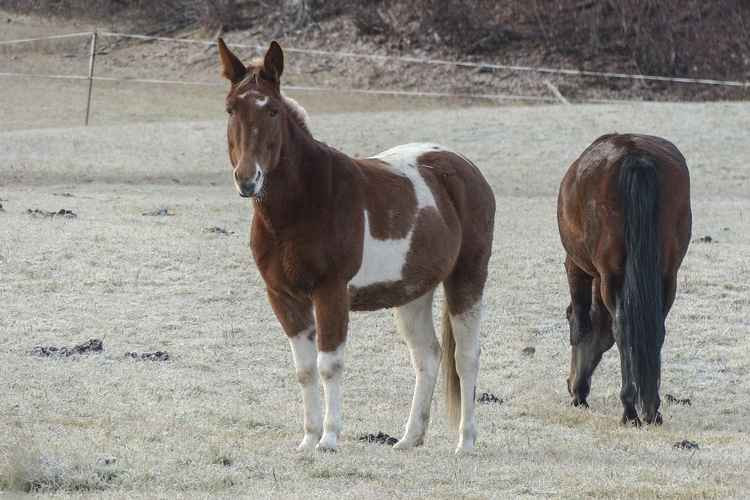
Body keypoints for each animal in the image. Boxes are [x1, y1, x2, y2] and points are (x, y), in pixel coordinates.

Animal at [217, 40, 496, 454]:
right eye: (230, 108)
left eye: (272, 109)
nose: (247, 179)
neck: (304, 203)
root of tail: (462, 167)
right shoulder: (283, 297)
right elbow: (305, 370)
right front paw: (308, 440)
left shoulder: (330, 292)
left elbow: (329, 364)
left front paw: (329, 439)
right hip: (412, 292)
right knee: (427, 356)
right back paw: (409, 438)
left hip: (467, 278)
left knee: (466, 358)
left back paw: (466, 442)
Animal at [560, 133, 692, 426]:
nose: (572, 386)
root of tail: (636, 155)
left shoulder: (576, 266)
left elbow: (580, 322)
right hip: (668, 274)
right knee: (655, 327)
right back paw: (652, 408)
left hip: (610, 273)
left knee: (622, 326)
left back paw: (630, 408)